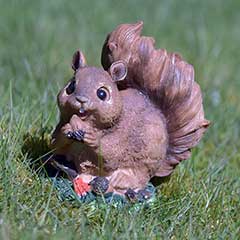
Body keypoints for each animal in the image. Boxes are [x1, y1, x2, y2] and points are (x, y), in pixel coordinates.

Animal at [51, 22, 210, 197]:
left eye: (102, 93)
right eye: (71, 86)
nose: (81, 100)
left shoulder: (124, 135)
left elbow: (112, 152)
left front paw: (94, 139)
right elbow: (55, 142)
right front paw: (67, 129)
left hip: (140, 169)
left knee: (128, 180)